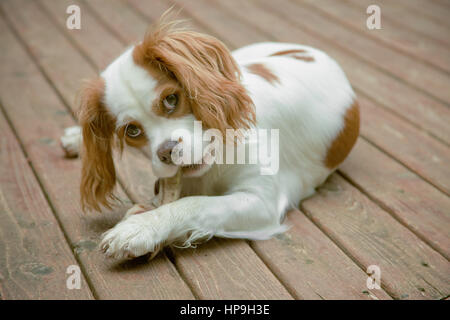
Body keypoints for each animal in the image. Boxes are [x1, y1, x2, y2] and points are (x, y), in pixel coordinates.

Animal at [61, 18, 360, 260]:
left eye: (171, 99)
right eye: (132, 131)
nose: (167, 152)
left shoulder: (261, 201)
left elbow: (194, 203)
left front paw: (140, 228)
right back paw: (75, 138)